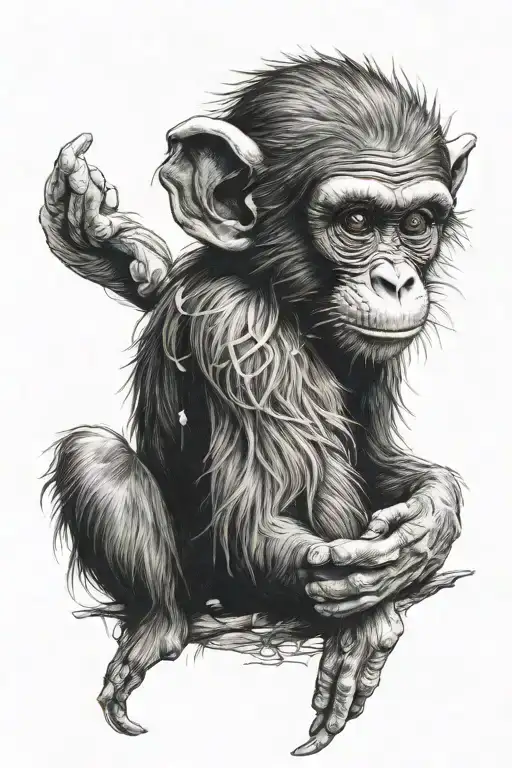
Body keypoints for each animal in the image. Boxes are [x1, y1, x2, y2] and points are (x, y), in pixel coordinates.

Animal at [40, 53, 475, 756]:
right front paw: (370, 621)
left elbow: (379, 456)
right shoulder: (242, 333)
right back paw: (160, 623)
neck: (276, 287)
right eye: (357, 223)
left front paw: (427, 527)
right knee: (92, 452)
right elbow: (257, 524)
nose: (397, 280)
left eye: (416, 225)